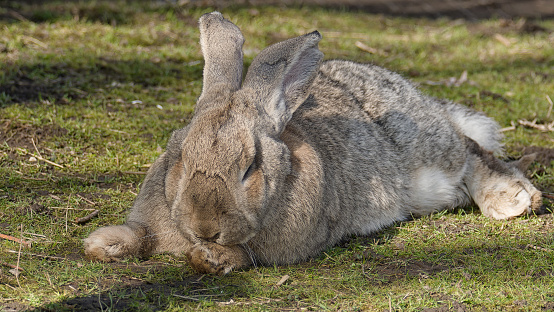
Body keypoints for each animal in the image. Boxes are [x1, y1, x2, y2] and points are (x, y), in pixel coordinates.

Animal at [82, 12, 540, 274]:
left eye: (251, 168)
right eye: (179, 155)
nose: (205, 227)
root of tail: (421, 99)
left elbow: (246, 257)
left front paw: (209, 258)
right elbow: (139, 233)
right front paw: (104, 244)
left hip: (429, 160)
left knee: (472, 151)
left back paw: (512, 200)